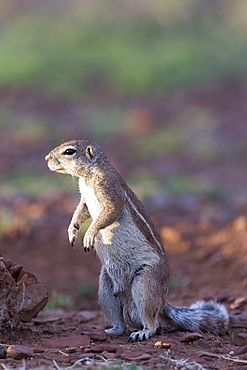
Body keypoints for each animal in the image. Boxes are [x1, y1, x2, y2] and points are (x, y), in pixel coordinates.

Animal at [45, 140, 229, 342]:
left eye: (69, 152)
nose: (46, 158)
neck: (88, 176)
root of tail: (163, 301)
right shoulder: (84, 199)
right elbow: (80, 212)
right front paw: (72, 231)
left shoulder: (110, 191)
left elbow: (109, 213)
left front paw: (89, 234)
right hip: (105, 287)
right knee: (119, 317)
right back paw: (112, 330)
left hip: (145, 284)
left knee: (154, 322)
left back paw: (142, 332)